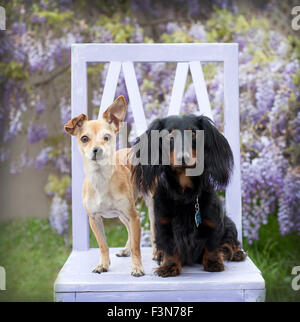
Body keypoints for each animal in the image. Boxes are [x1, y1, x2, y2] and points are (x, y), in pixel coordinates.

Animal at [64, 95, 145, 276]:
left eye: (106, 137)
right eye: (84, 139)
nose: (96, 149)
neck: (101, 179)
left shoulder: (134, 216)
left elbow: (137, 247)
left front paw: (137, 267)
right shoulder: (94, 219)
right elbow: (103, 245)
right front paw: (103, 264)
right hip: (123, 216)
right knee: (130, 231)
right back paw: (126, 250)